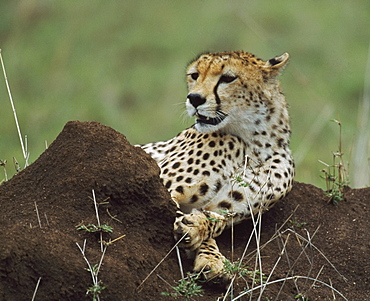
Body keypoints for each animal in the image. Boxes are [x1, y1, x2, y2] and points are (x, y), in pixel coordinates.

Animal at [140, 49, 294, 282]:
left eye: (228, 78)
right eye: (194, 75)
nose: (194, 99)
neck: (252, 143)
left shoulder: (229, 207)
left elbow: (213, 221)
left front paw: (205, 246)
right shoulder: (162, 185)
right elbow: (173, 211)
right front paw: (208, 253)